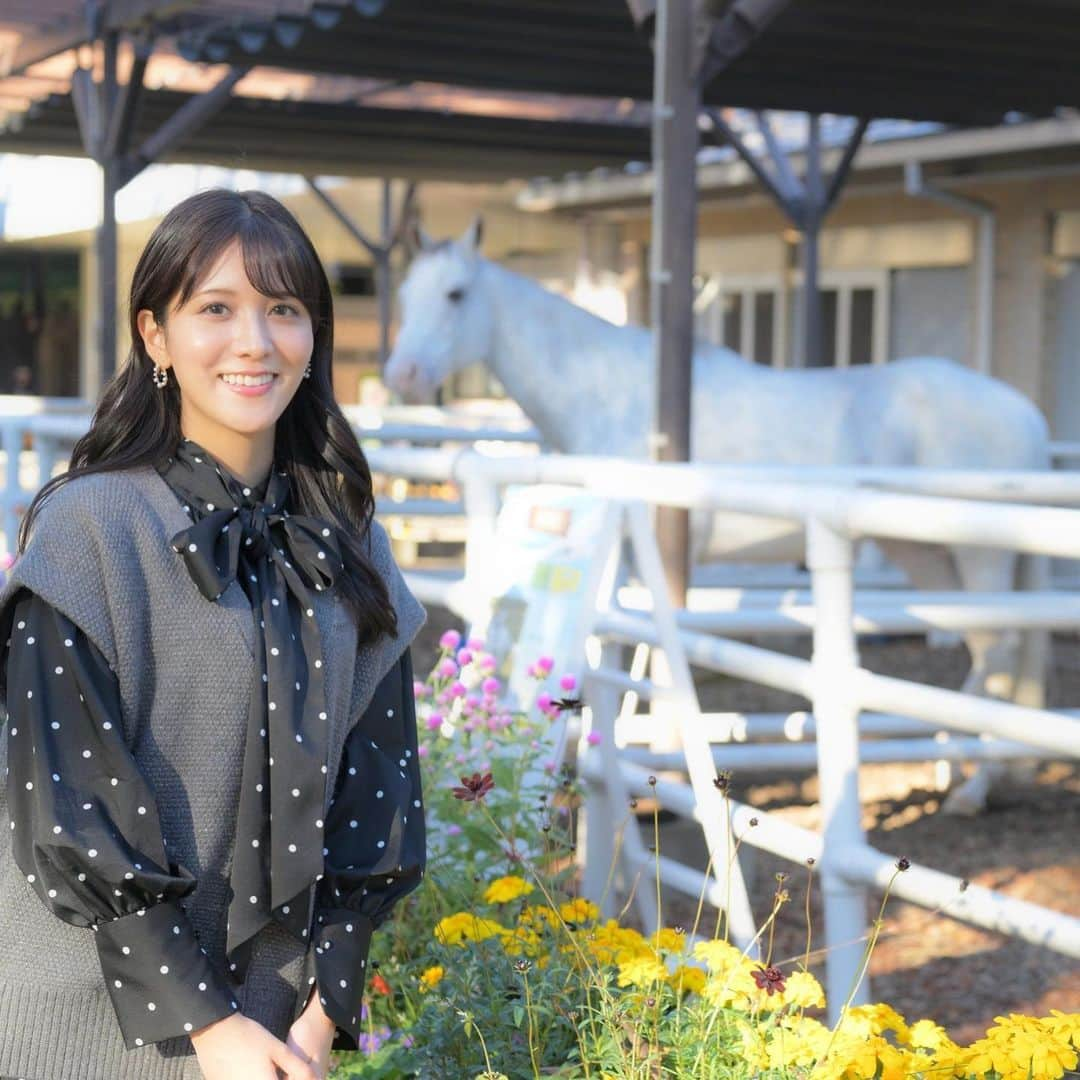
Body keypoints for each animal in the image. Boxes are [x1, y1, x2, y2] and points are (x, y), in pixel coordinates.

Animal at [384, 219, 1049, 812]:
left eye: (455, 294)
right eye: (406, 294)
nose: (402, 376)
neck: (621, 395)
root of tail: (1027, 415)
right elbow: (633, 652)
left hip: (981, 554)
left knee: (1002, 648)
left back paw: (971, 784)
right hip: (926, 553)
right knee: (988, 646)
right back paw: (955, 765)